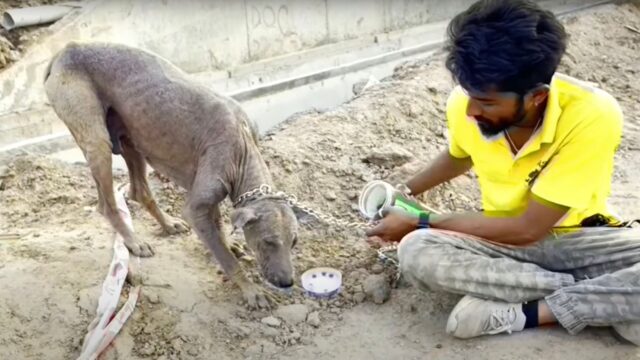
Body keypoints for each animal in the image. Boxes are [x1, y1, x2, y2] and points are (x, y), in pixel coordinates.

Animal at [45, 41, 300, 306]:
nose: (287, 283)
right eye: (268, 241)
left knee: (138, 191)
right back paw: (134, 241)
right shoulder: (198, 203)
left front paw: (228, 242)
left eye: (294, 242)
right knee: (107, 205)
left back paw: (168, 224)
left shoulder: (209, 193)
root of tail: (64, 50)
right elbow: (227, 259)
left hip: (130, 137)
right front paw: (251, 290)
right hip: (97, 141)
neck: (243, 145)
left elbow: (219, 224)